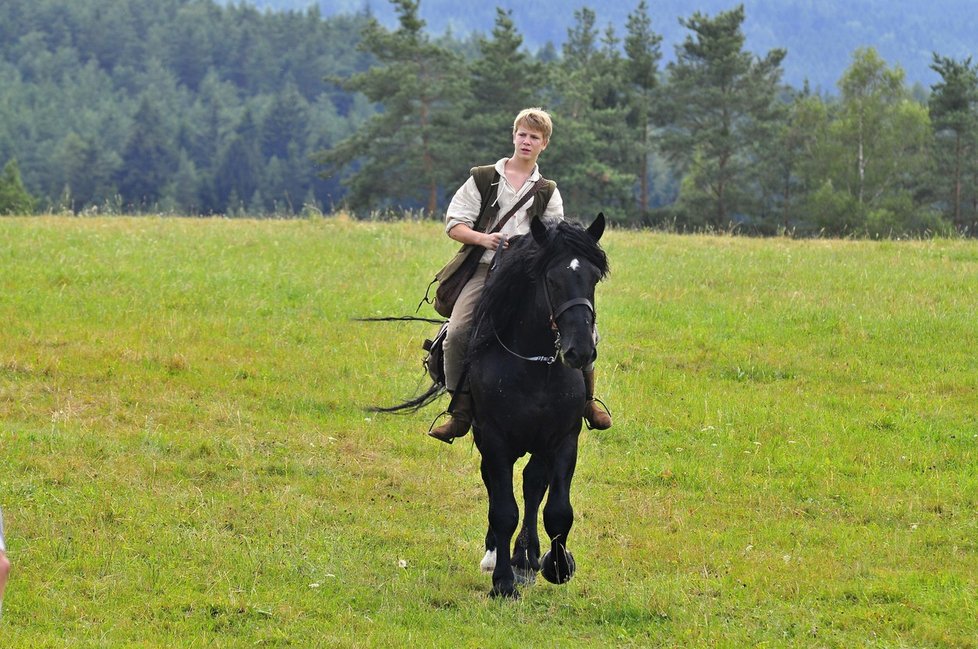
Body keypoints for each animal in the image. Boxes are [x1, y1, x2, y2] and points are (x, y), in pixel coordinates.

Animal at [464, 214, 608, 596]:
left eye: (593, 277)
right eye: (553, 280)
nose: (580, 351)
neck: (535, 367)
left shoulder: (561, 440)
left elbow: (557, 509)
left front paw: (557, 566)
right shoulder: (494, 440)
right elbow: (503, 511)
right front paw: (502, 582)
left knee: (532, 486)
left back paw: (526, 557)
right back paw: (496, 555)